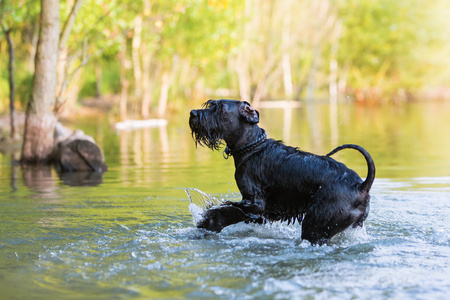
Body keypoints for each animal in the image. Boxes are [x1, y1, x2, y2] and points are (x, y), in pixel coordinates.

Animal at [188, 99, 374, 245]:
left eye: (219, 108)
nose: (192, 113)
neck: (252, 147)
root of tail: (361, 186)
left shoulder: (255, 204)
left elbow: (229, 210)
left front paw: (209, 221)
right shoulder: (267, 212)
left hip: (316, 225)